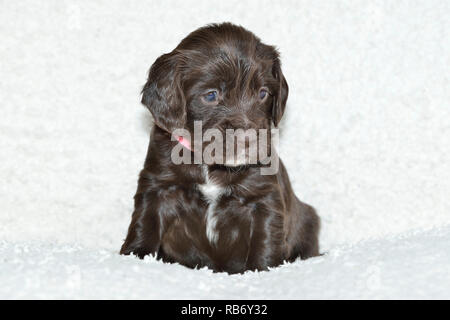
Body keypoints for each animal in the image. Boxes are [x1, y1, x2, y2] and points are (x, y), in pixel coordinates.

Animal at [120, 22, 320, 274]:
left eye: (263, 93)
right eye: (211, 95)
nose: (247, 138)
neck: (209, 164)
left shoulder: (264, 197)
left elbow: (265, 239)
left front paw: (260, 270)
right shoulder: (157, 186)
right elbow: (145, 223)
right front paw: (134, 256)